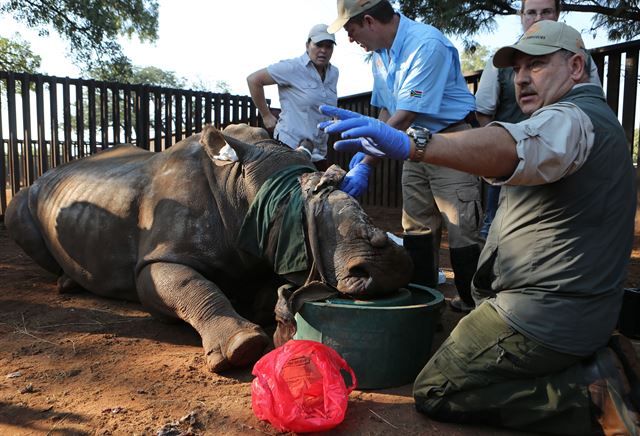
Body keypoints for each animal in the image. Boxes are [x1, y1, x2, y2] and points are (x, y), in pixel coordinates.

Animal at [5, 124, 412, 372]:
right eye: (287, 210)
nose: (386, 268)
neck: (239, 187)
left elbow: (266, 290)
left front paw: (262, 306)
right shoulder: (157, 258)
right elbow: (191, 286)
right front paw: (243, 347)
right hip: (30, 197)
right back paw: (66, 284)